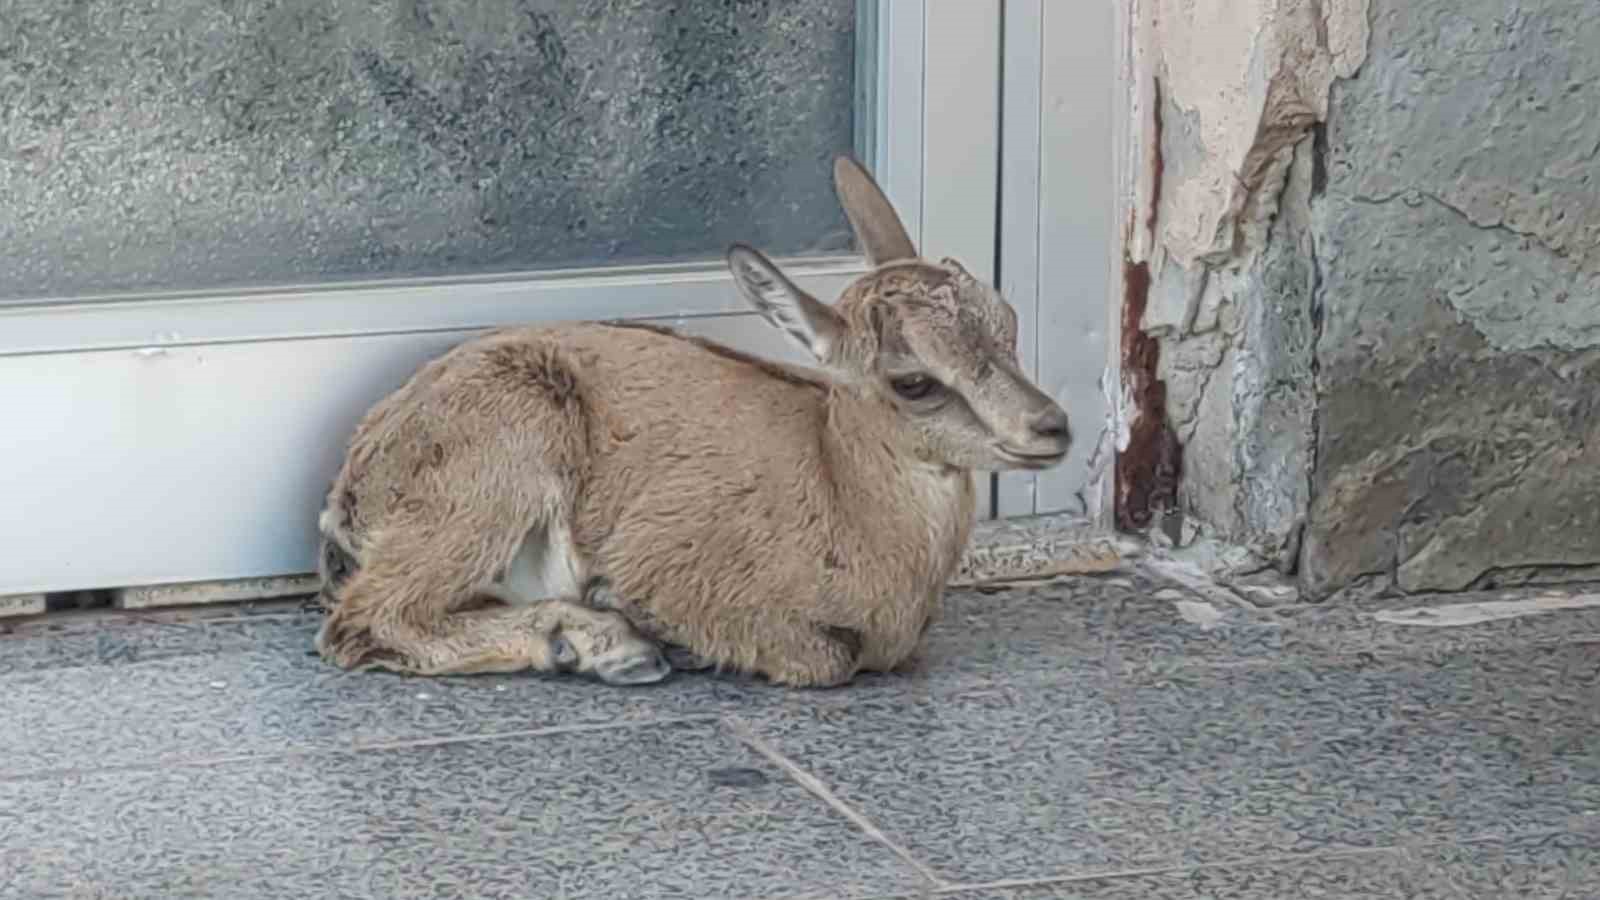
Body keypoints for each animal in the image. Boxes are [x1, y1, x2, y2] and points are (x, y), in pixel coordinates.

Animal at [313, 156, 1068, 685]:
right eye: (913, 381)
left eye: (1007, 323)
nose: (1051, 427)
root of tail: (353, 489)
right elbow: (824, 658)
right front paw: (655, 626)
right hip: (498, 467)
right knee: (368, 619)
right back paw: (604, 645)